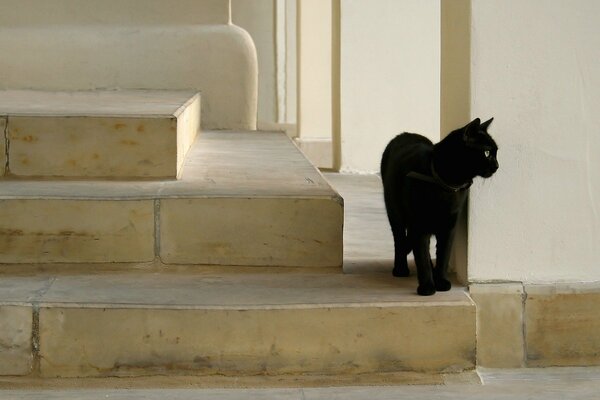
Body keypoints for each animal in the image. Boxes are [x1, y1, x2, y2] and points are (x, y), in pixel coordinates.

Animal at [382, 117, 500, 296]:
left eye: (496, 152)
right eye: (487, 153)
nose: (497, 165)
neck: (446, 186)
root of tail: (405, 134)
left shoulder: (449, 226)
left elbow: (443, 255)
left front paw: (441, 282)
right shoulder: (419, 225)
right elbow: (422, 257)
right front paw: (427, 287)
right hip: (394, 212)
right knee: (399, 239)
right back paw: (400, 269)